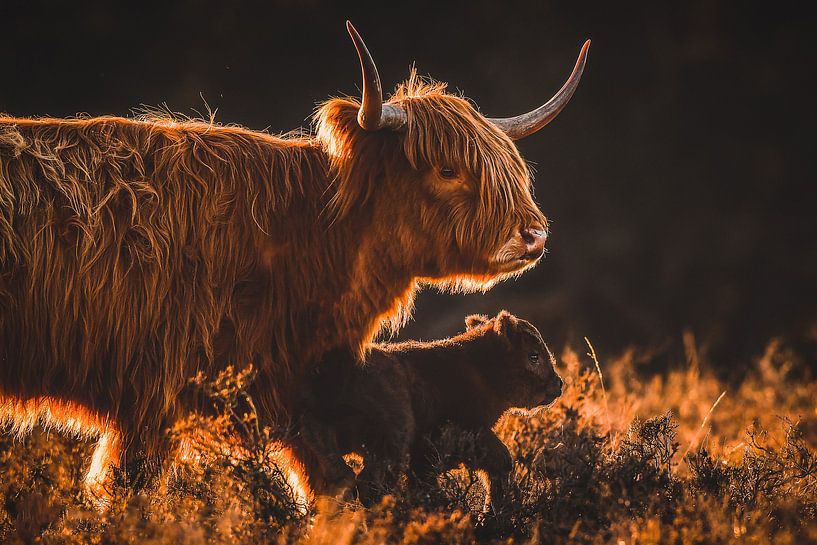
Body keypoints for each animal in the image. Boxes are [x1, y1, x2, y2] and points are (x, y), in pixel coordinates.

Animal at [0, 21, 588, 497]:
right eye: (447, 170)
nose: (534, 235)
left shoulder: (295, 398)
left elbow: (337, 487)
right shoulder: (155, 396)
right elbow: (127, 492)